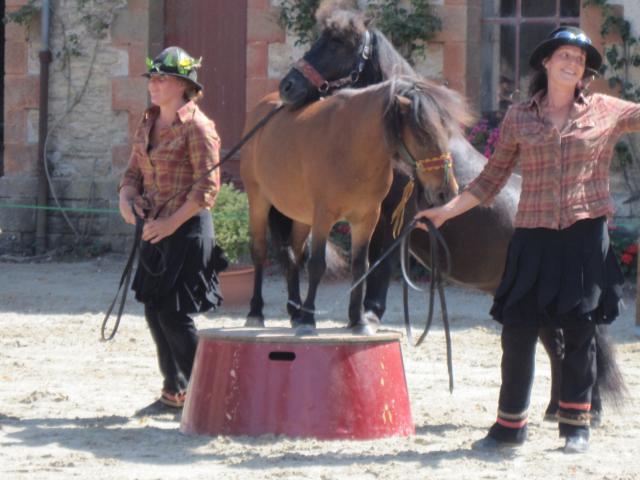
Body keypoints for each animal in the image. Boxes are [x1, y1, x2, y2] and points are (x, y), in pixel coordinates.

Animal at [240, 78, 470, 334]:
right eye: (423, 134)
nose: (447, 192)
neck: (351, 148)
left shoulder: (366, 218)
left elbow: (361, 266)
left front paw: (357, 320)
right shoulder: (324, 216)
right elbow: (317, 264)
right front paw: (309, 320)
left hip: (301, 216)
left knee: (293, 254)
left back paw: (295, 311)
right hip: (259, 202)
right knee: (260, 252)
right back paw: (256, 312)